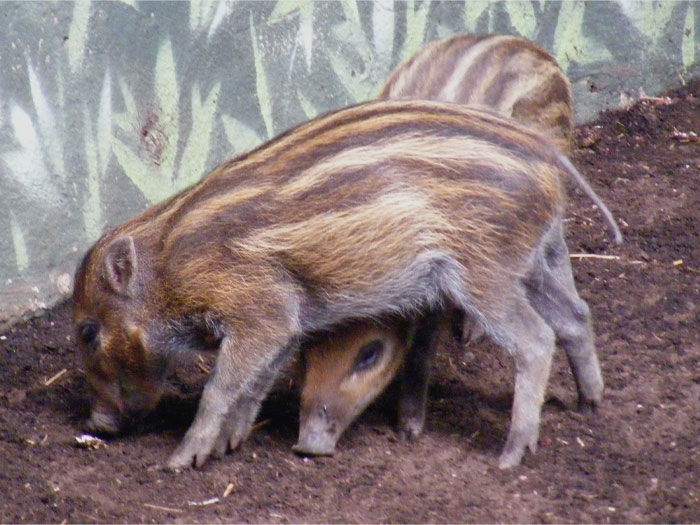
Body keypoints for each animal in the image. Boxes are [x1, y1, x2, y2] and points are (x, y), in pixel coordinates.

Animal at [73, 99, 618, 470]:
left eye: (87, 331)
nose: (95, 424)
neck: (169, 267)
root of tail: (545, 154)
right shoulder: (287, 320)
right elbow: (257, 383)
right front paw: (231, 444)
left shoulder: (261, 312)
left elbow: (221, 387)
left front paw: (182, 459)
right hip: (537, 261)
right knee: (576, 316)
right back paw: (590, 403)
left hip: (484, 273)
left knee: (536, 339)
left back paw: (511, 454)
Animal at [296, 34, 618, 457]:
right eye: (307, 351)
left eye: (370, 353)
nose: (307, 445)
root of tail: (527, 45)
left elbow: (421, 348)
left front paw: (409, 428)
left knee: (557, 256)